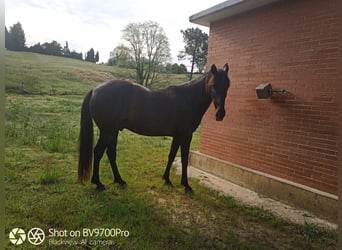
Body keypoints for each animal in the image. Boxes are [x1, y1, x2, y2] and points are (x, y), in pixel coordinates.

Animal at [79, 63, 231, 192]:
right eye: (213, 85)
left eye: (227, 85)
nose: (220, 114)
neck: (188, 99)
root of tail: (95, 90)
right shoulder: (186, 135)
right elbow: (184, 158)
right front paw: (186, 185)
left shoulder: (177, 136)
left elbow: (171, 156)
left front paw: (167, 179)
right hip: (107, 131)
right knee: (98, 152)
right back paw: (98, 183)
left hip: (113, 131)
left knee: (111, 153)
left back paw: (119, 180)